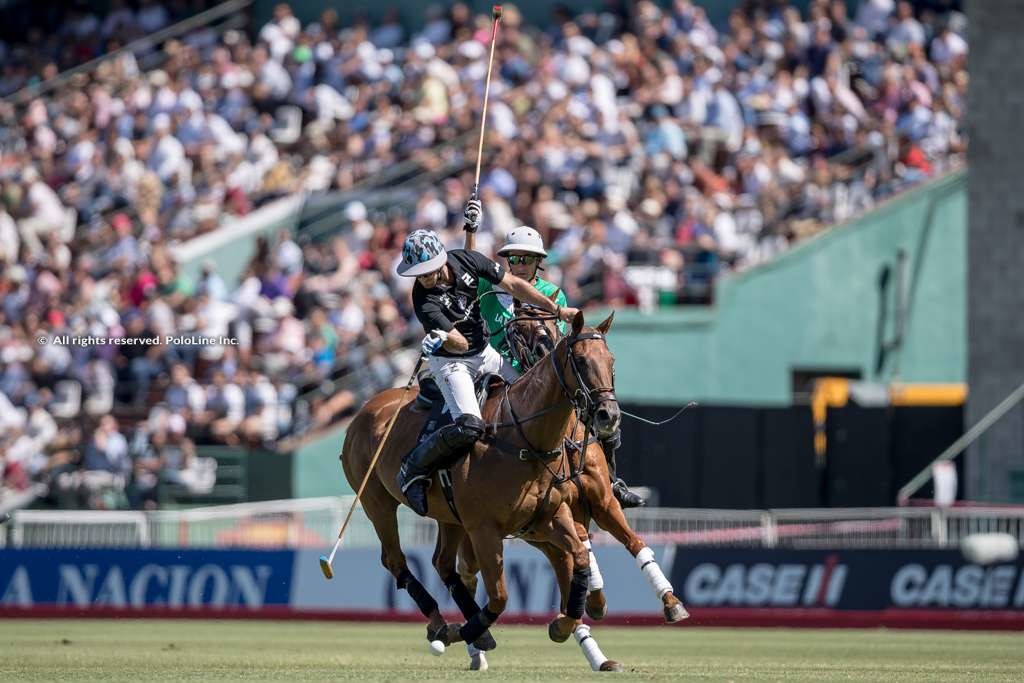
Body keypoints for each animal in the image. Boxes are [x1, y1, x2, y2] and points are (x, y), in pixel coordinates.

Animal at [339, 313, 618, 651]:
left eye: (611, 361)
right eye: (580, 360)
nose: (608, 415)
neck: (524, 439)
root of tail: (363, 411)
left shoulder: (550, 516)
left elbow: (578, 556)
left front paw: (566, 621)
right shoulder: (485, 529)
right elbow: (499, 597)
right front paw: (467, 630)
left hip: (448, 516)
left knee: (442, 563)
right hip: (376, 501)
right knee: (395, 559)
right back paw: (442, 624)